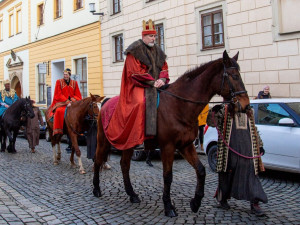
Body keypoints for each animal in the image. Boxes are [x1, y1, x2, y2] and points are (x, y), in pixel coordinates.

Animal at [92, 51, 250, 216]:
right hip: (103, 141)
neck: (179, 106)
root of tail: (106, 103)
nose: (245, 104)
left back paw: (132, 194)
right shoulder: (167, 146)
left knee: (124, 165)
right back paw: (96, 189)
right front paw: (168, 206)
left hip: (128, 144)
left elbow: (201, 170)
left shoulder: (186, 145)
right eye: (234, 76)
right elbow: (168, 176)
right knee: (98, 160)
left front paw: (195, 202)